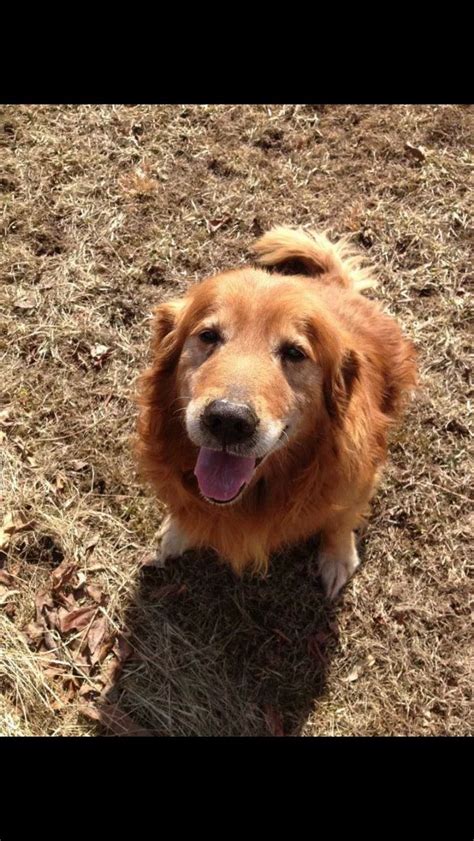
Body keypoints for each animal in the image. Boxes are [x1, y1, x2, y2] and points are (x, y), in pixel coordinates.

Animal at [135, 226, 416, 596]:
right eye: (208, 336)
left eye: (295, 352)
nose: (228, 421)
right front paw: (178, 531)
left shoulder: (358, 480)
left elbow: (340, 521)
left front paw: (338, 557)